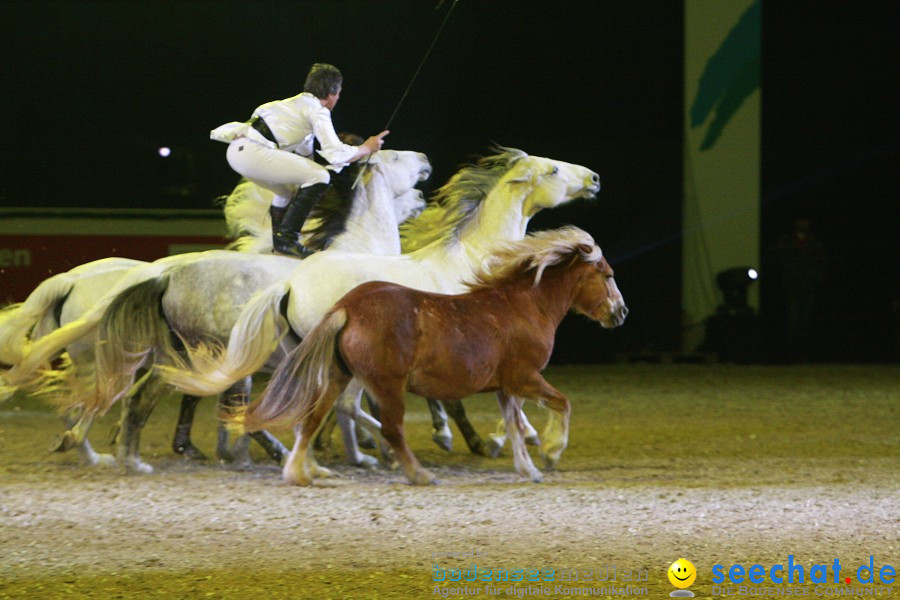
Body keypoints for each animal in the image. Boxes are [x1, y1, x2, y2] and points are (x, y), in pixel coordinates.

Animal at [243, 227, 628, 486]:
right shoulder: (525, 377)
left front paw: (528, 468)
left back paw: (301, 471)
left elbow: (515, 426)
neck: (523, 307)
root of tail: (347, 308)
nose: (621, 312)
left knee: (312, 418)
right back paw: (418, 473)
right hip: (386, 384)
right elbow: (561, 404)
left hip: (339, 376)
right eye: (608, 274)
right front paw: (550, 451)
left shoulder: (507, 387)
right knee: (391, 428)